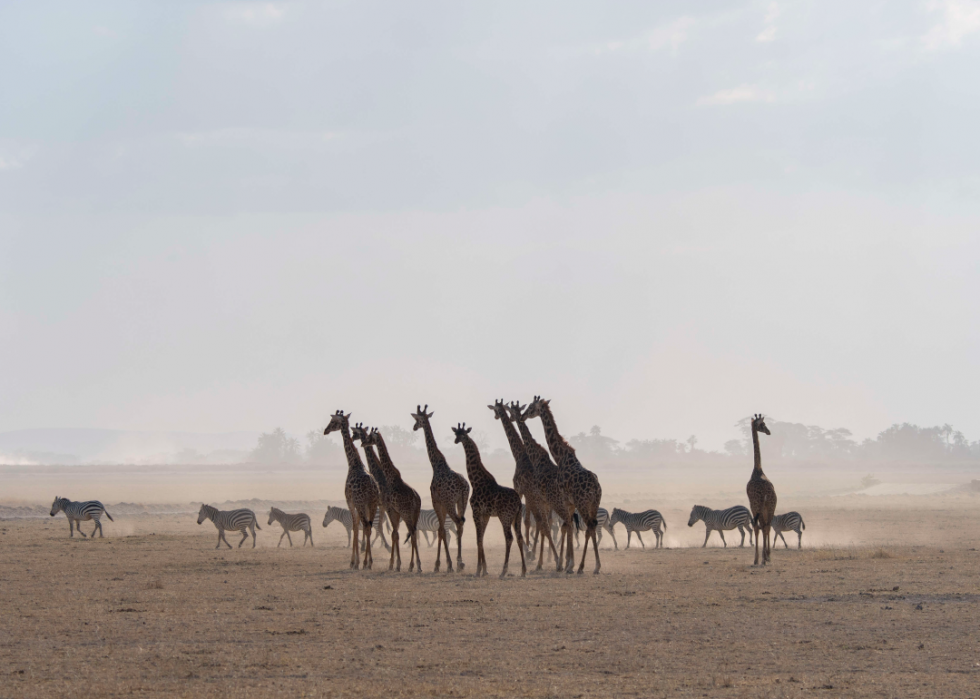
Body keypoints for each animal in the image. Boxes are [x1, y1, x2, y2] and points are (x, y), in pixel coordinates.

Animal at [324, 412, 380, 572]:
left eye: (332, 421)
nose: (325, 430)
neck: (353, 463)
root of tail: (371, 487)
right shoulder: (362, 504)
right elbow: (357, 526)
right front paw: (358, 561)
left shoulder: (350, 501)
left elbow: (355, 526)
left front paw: (354, 562)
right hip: (373, 504)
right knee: (369, 526)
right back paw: (369, 562)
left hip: (362, 504)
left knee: (365, 525)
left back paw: (365, 562)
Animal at [362, 426, 420, 576]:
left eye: (370, 437)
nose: (363, 443)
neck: (390, 477)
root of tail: (418, 501)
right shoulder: (394, 510)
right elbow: (395, 534)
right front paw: (395, 564)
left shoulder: (391, 509)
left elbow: (394, 534)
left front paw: (394, 564)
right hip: (412, 515)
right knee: (413, 532)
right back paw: (414, 565)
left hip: (406, 513)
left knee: (412, 533)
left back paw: (415, 565)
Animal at [412, 404, 468, 576]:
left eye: (417, 419)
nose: (414, 427)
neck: (436, 464)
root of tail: (462, 485)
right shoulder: (442, 503)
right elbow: (441, 530)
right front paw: (445, 564)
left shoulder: (436, 500)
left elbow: (441, 530)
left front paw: (440, 565)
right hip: (463, 501)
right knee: (461, 523)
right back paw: (460, 562)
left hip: (450, 502)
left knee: (457, 522)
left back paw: (458, 562)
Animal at [454, 422, 528, 580]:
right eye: (456, 433)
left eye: (462, 434)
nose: (456, 440)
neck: (475, 481)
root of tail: (519, 503)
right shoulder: (485, 514)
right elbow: (481, 537)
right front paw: (484, 570)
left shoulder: (476, 511)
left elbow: (478, 539)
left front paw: (478, 571)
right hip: (516, 517)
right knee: (518, 537)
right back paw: (524, 571)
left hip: (505, 516)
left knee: (509, 538)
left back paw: (503, 571)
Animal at [524, 396, 600, 576]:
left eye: (531, 407)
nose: (523, 415)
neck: (561, 457)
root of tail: (596, 487)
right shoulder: (570, 504)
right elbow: (568, 526)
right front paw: (568, 564)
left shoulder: (566, 501)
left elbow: (567, 526)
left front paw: (569, 565)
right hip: (594, 504)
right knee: (592, 526)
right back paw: (592, 566)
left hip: (583, 503)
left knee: (589, 527)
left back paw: (587, 567)